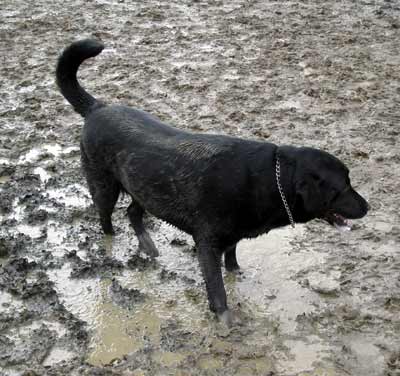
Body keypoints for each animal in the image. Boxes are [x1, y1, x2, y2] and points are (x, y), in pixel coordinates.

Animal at [56, 39, 368, 324]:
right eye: (342, 187)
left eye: (350, 181)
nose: (367, 207)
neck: (272, 177)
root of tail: (97, 108)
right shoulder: (207, 242)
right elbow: (217, 288)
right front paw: (226, 321)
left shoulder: (232, 234)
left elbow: (232, 257)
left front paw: (236, 273)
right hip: (103, 185)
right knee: (106, 217)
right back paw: (112, 245)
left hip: (144, 187)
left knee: (133, 212)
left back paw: (148, 246)